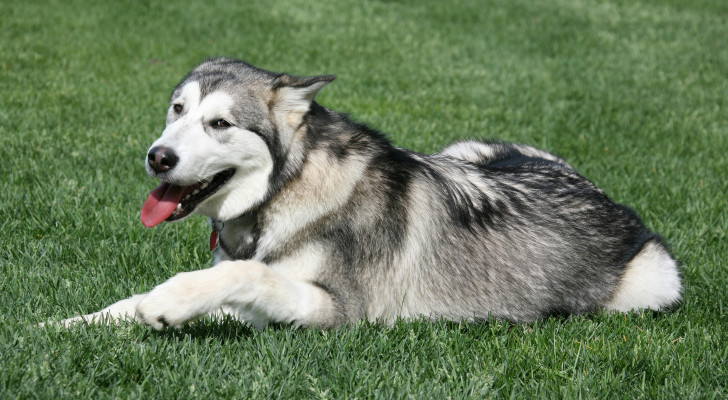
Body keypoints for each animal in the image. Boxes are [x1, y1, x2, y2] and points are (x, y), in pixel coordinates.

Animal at [55, 57, 684, 330]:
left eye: (220, 124)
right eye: (177, 110)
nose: (158, 157)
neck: (288, 191)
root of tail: (602, 195)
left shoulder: (340, 311)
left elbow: (244, 275)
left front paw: (169, 302)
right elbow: (139, 300)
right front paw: (68, 327)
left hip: (653, 284)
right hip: (470, 147)